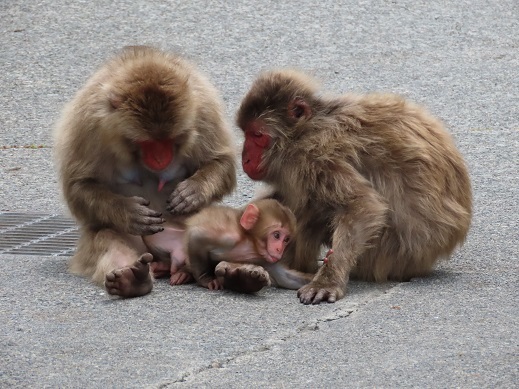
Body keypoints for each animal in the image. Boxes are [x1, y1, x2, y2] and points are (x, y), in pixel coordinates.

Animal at [53, 46, 238, 298]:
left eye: (169, 140)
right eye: (148, 142)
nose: (160, 158)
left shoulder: (204, 110)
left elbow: (221, 160)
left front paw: (193, 192)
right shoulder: (87, 123)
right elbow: (78, 184)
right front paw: (128, 210)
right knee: (106, 236)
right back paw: (132, 279)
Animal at [148, 199, 314, 292]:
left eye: (286, 239)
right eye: (277, 235)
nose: (279, 249)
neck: (249, 242)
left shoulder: (265, 258)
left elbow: (287, 278)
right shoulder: (228, 236)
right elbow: (196, 236)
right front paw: (206, 279)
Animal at [238, 70, 474, 306]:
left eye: (257, 135)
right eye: (246, 133)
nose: (245, 159)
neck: (308, 127)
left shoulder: (313, 156)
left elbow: (362, 205)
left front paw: (327, 281)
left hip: (386, 257)